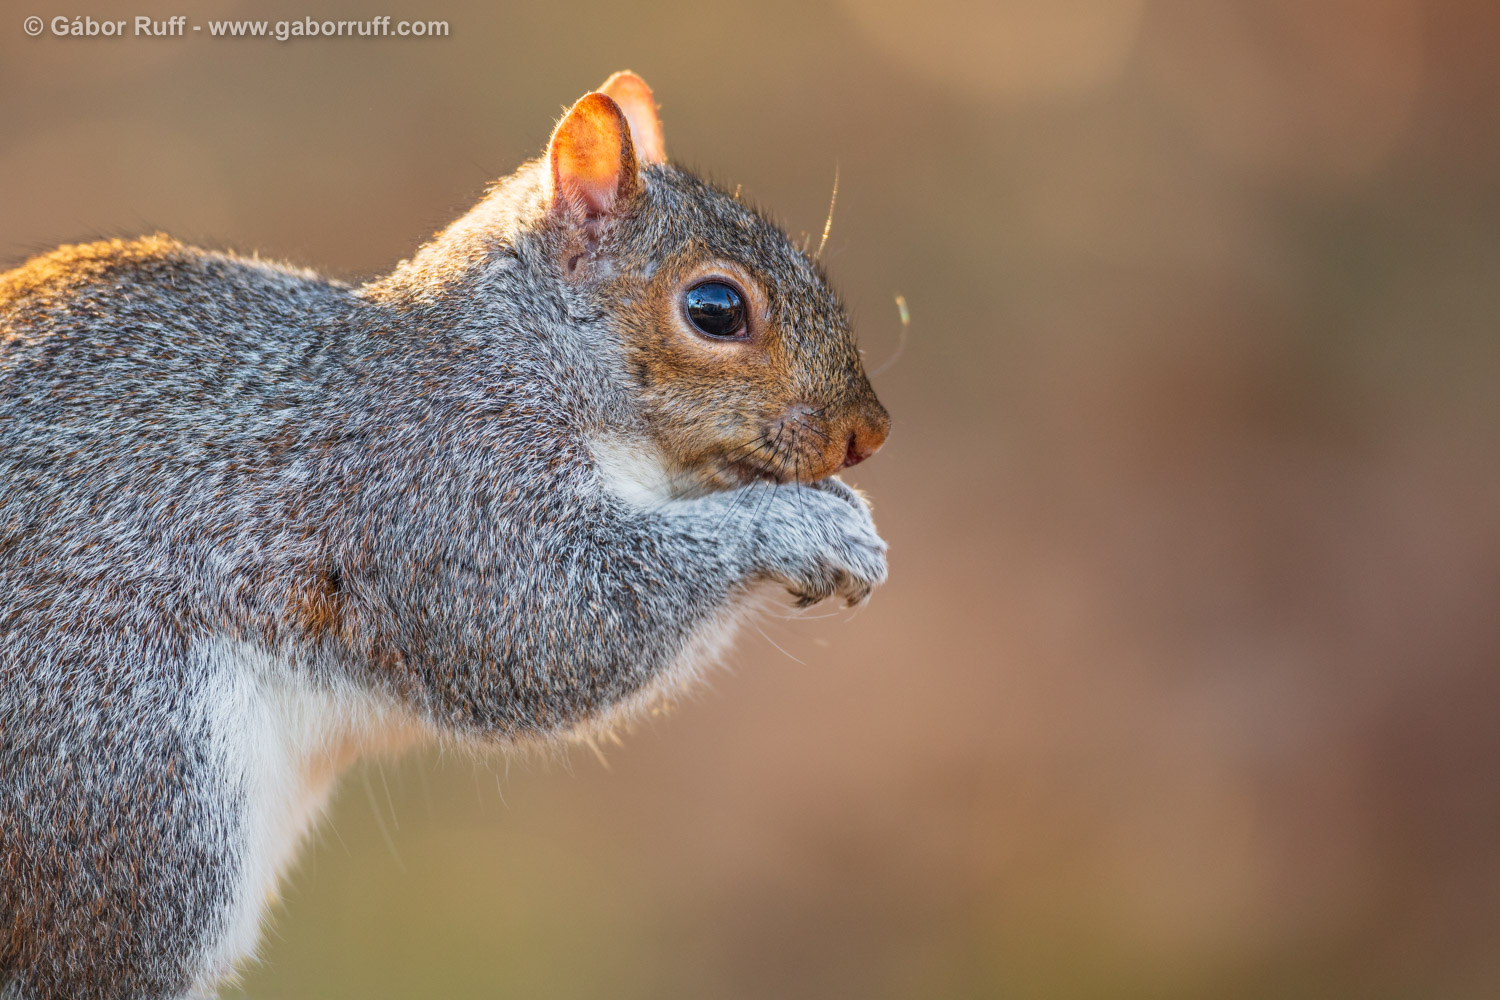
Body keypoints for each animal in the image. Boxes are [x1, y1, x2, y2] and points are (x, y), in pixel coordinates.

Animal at [0, 72, 888, 1000]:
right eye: (716, 309)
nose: (868, 434)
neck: (518, 348)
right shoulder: (442, 483)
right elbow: (548, 625)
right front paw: (804, 524)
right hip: (135, 791)